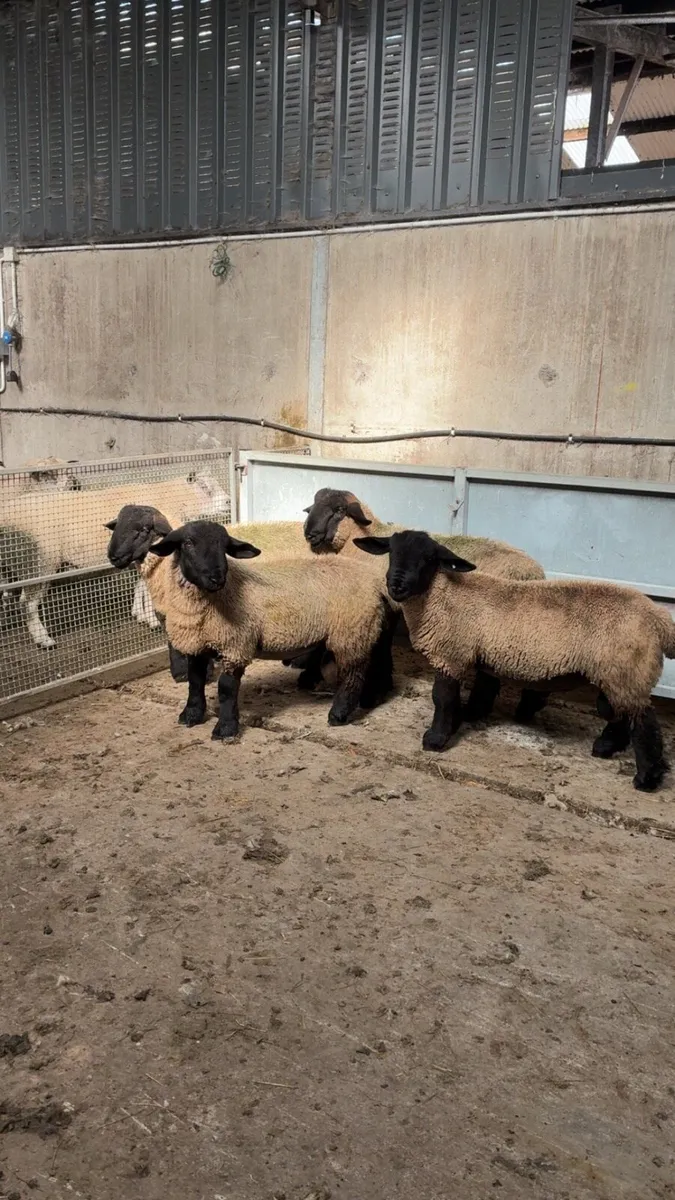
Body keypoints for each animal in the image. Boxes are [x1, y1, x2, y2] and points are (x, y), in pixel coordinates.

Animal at [0, 468, 228, 649]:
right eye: (205, 487)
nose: (227, 501)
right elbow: (146, 588)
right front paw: (151, 619)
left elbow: (140, 586)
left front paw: (139, 614)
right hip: (38, 562)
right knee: (28, 603)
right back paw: (43, 639)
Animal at [106, 507, 393, 738]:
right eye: (187, 543)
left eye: (224, 546)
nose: (217, 577)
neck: (221, 596)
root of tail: (372, 581)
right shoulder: (198, 644)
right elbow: (195, 681)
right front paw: (191, 715)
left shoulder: (236, 645)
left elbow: (226, 689)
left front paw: (226, 728)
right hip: (363, 628)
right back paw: (372, 695)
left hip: (351, 631)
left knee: (354, 675)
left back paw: (339, 713)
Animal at [302, 487, 549, 722]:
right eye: (313, 506)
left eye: (339, 510)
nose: (309, 534)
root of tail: (534, 572)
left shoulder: (384, 601)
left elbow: (382, 643)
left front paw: (375, 690)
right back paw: (526, 709)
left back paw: (476, 711)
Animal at [355, 529, 675, 792]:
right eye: (392, 552)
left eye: (429, 559)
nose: (396, 586)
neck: (440, 597)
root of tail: (659, 620)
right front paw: (459, 721)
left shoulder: (451, 654)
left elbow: (442, 698)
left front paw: (436, 739)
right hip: (618, 672)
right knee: (620, 712)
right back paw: (607, 747)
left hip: (627, 670)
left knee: (645, 724)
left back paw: (646, 779)